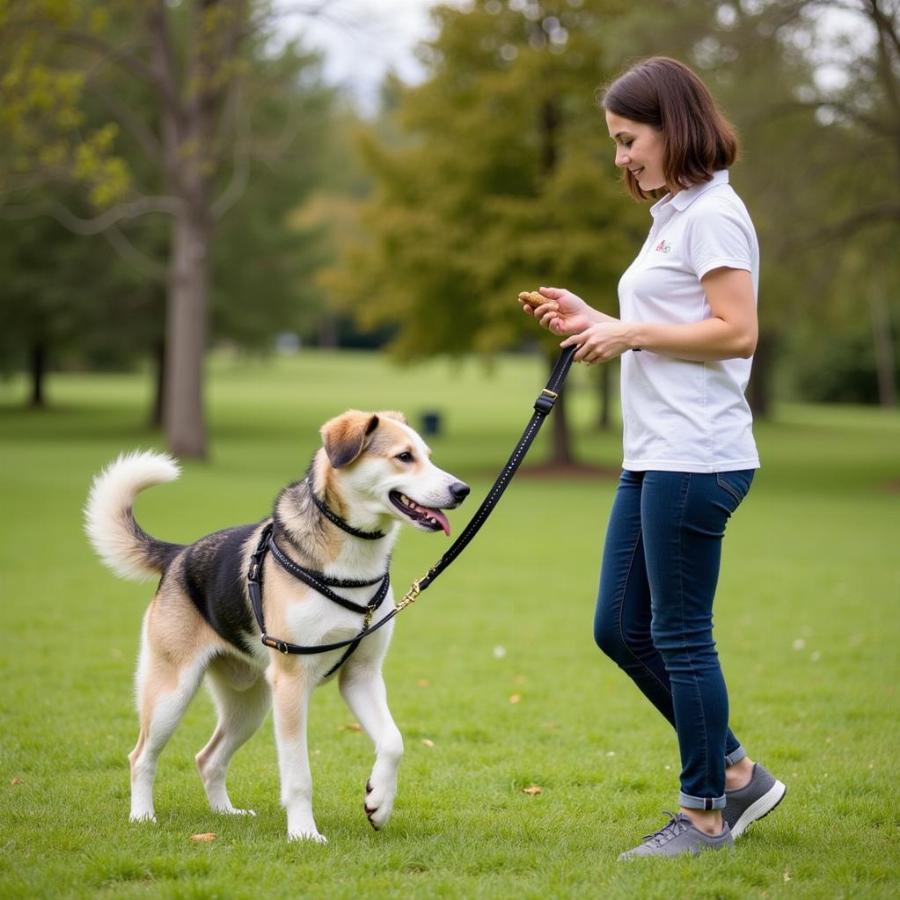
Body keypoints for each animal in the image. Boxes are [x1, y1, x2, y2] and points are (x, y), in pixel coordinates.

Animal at [84, 412, 472, 840]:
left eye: (428, 456)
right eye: (404, 457)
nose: (462, 490)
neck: (350, 565)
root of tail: (178, 555)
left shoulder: (362, 675)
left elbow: (393, 742)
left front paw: (379, 803)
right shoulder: (291, 683)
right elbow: (299, 775)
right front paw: (304, 833)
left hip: (250, 705)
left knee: (208, 757)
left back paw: (225, 813)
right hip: (172, 692)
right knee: (141, 756)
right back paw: (142, 815)